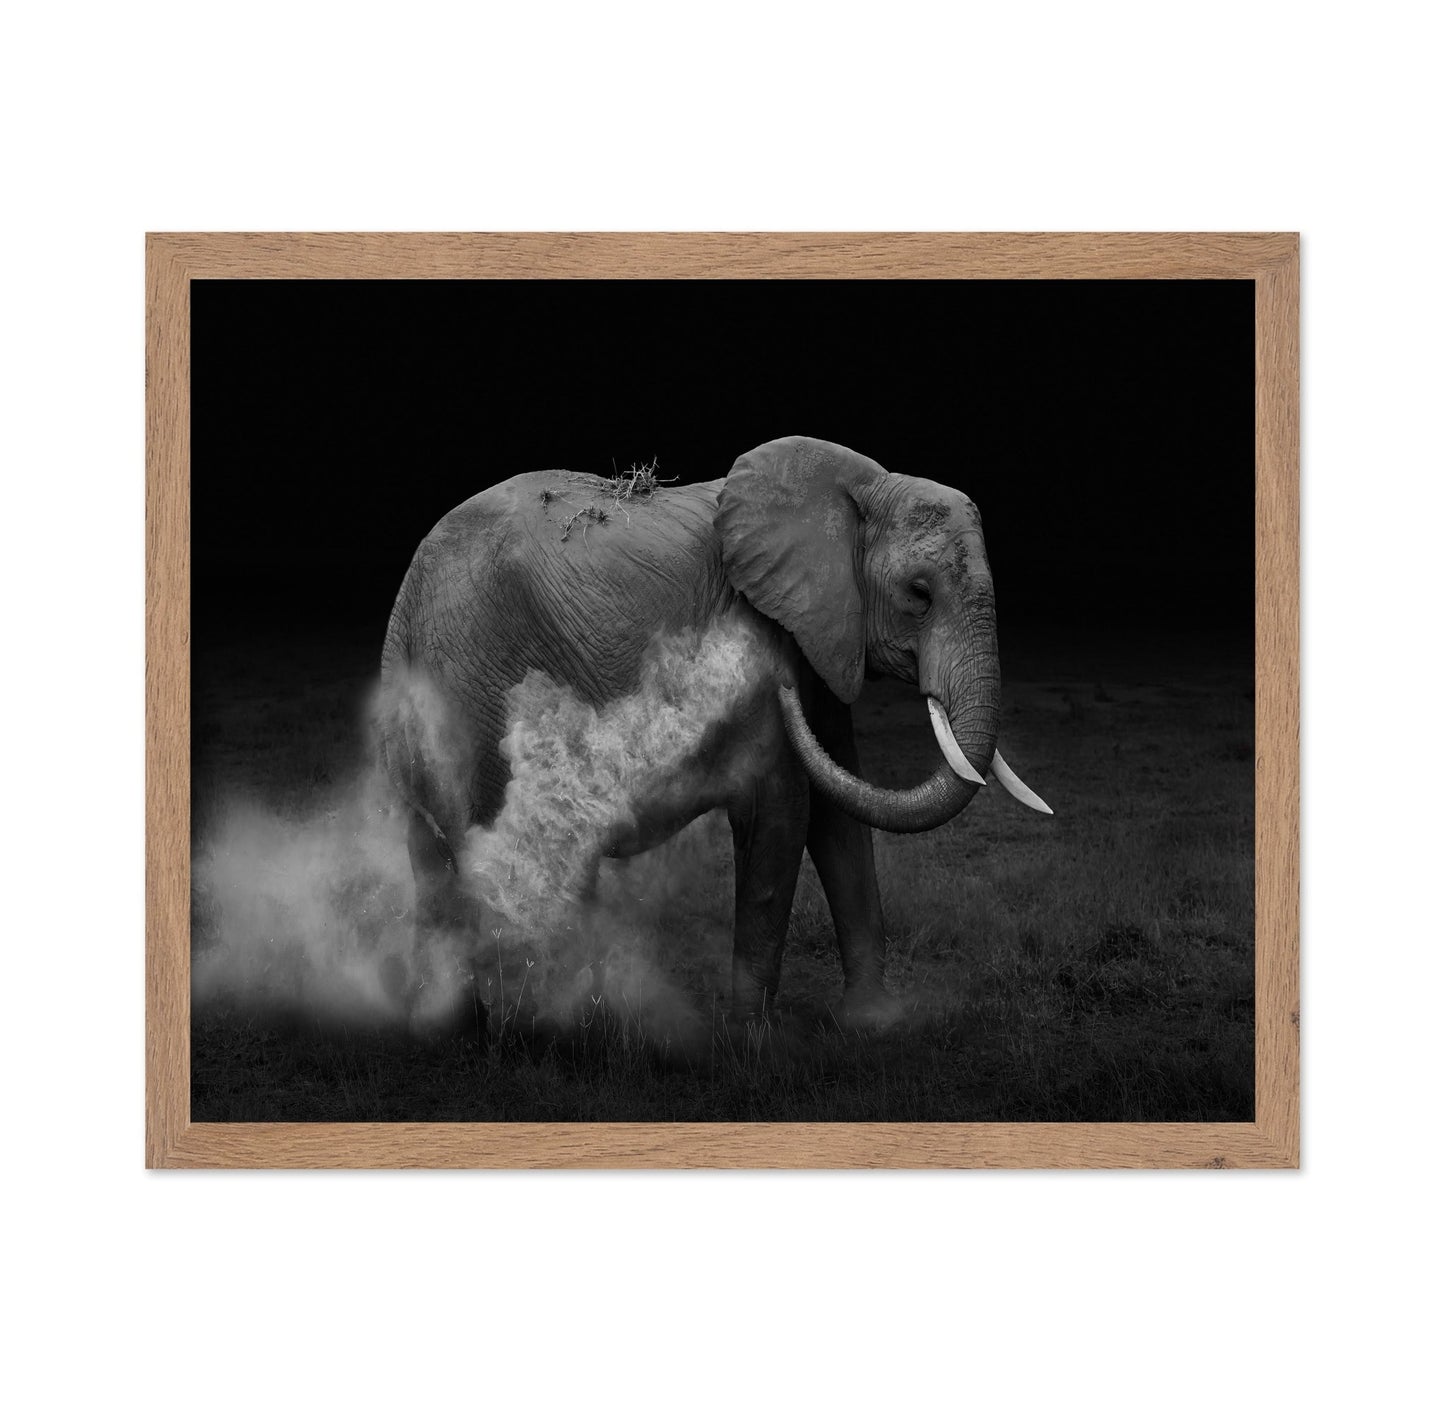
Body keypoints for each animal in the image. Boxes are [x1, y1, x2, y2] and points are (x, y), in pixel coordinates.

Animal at [376, 435, 1049, 1026]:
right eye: (919, 594)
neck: (858, 487)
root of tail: (410, 585)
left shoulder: (822, 635)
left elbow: (839, 818)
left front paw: (873, 1024)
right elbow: (782, 809)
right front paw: (751, 1040)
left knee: (438, 857)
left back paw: (462, 1028)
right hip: (475, 686)